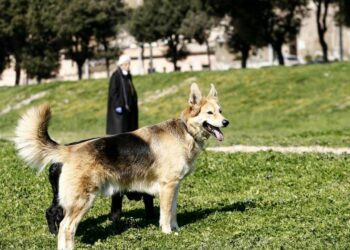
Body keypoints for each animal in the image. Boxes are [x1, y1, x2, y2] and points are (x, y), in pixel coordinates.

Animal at [15, 83, 230, 249]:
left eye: (220, 111)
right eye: (210, 113)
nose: (226, 122)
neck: (186, 130)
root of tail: (70, 149)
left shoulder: (174, 187)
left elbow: (173, 212)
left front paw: (176, 229)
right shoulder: (168, 187)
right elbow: (165, 215)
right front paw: (167, 233)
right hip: (82, 201)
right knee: (65, 228)